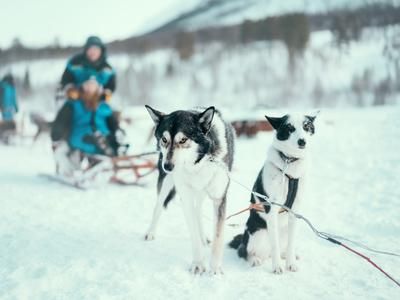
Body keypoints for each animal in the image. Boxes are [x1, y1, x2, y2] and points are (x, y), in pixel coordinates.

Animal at [145, 105, 236, 274]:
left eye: (183, 140)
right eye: (164, 139)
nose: (167, 166)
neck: (197, 164)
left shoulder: (219, 198)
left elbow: (218, 237)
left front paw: (215, 269)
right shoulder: (185, 198)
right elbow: (193, 234)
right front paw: (198, 264)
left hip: (201, 192)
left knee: (198, 210)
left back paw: (203, 236)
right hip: (166, 183)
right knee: (158, 206)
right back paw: (150, 232)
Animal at [228, 112, 318, 274]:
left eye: (306, 126)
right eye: (290, 128)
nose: (302, 141)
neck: (289, 162)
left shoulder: (295, 212)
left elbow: (291, 243)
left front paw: (291, 262)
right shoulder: (272, 208)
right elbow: (274, 245)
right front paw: (277, 267)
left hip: (283, 231)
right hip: (257, 234)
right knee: (245, 251)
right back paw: (254, 259)